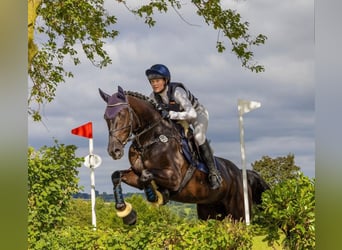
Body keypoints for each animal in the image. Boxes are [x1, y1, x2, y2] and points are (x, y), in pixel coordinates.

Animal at [97, 86, 268, 225]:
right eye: (105, 117)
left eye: (122, 114)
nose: (114, 151)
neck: (150, 139)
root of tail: (240, 172)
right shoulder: (135, 174)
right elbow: (117, 175)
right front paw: (127, 214)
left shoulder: (175, 178)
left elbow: (146, 175)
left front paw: (156, 195)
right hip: (208, 213)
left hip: (239, 214)